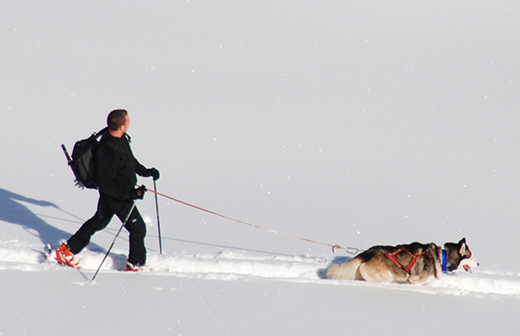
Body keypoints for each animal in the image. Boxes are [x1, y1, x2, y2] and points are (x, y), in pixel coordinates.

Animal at [328, 238, 478, 284]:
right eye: (471, 256)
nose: (478, 263)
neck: (442, 257)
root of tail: (368, 253)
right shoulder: (415, 280)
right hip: (385, 275)